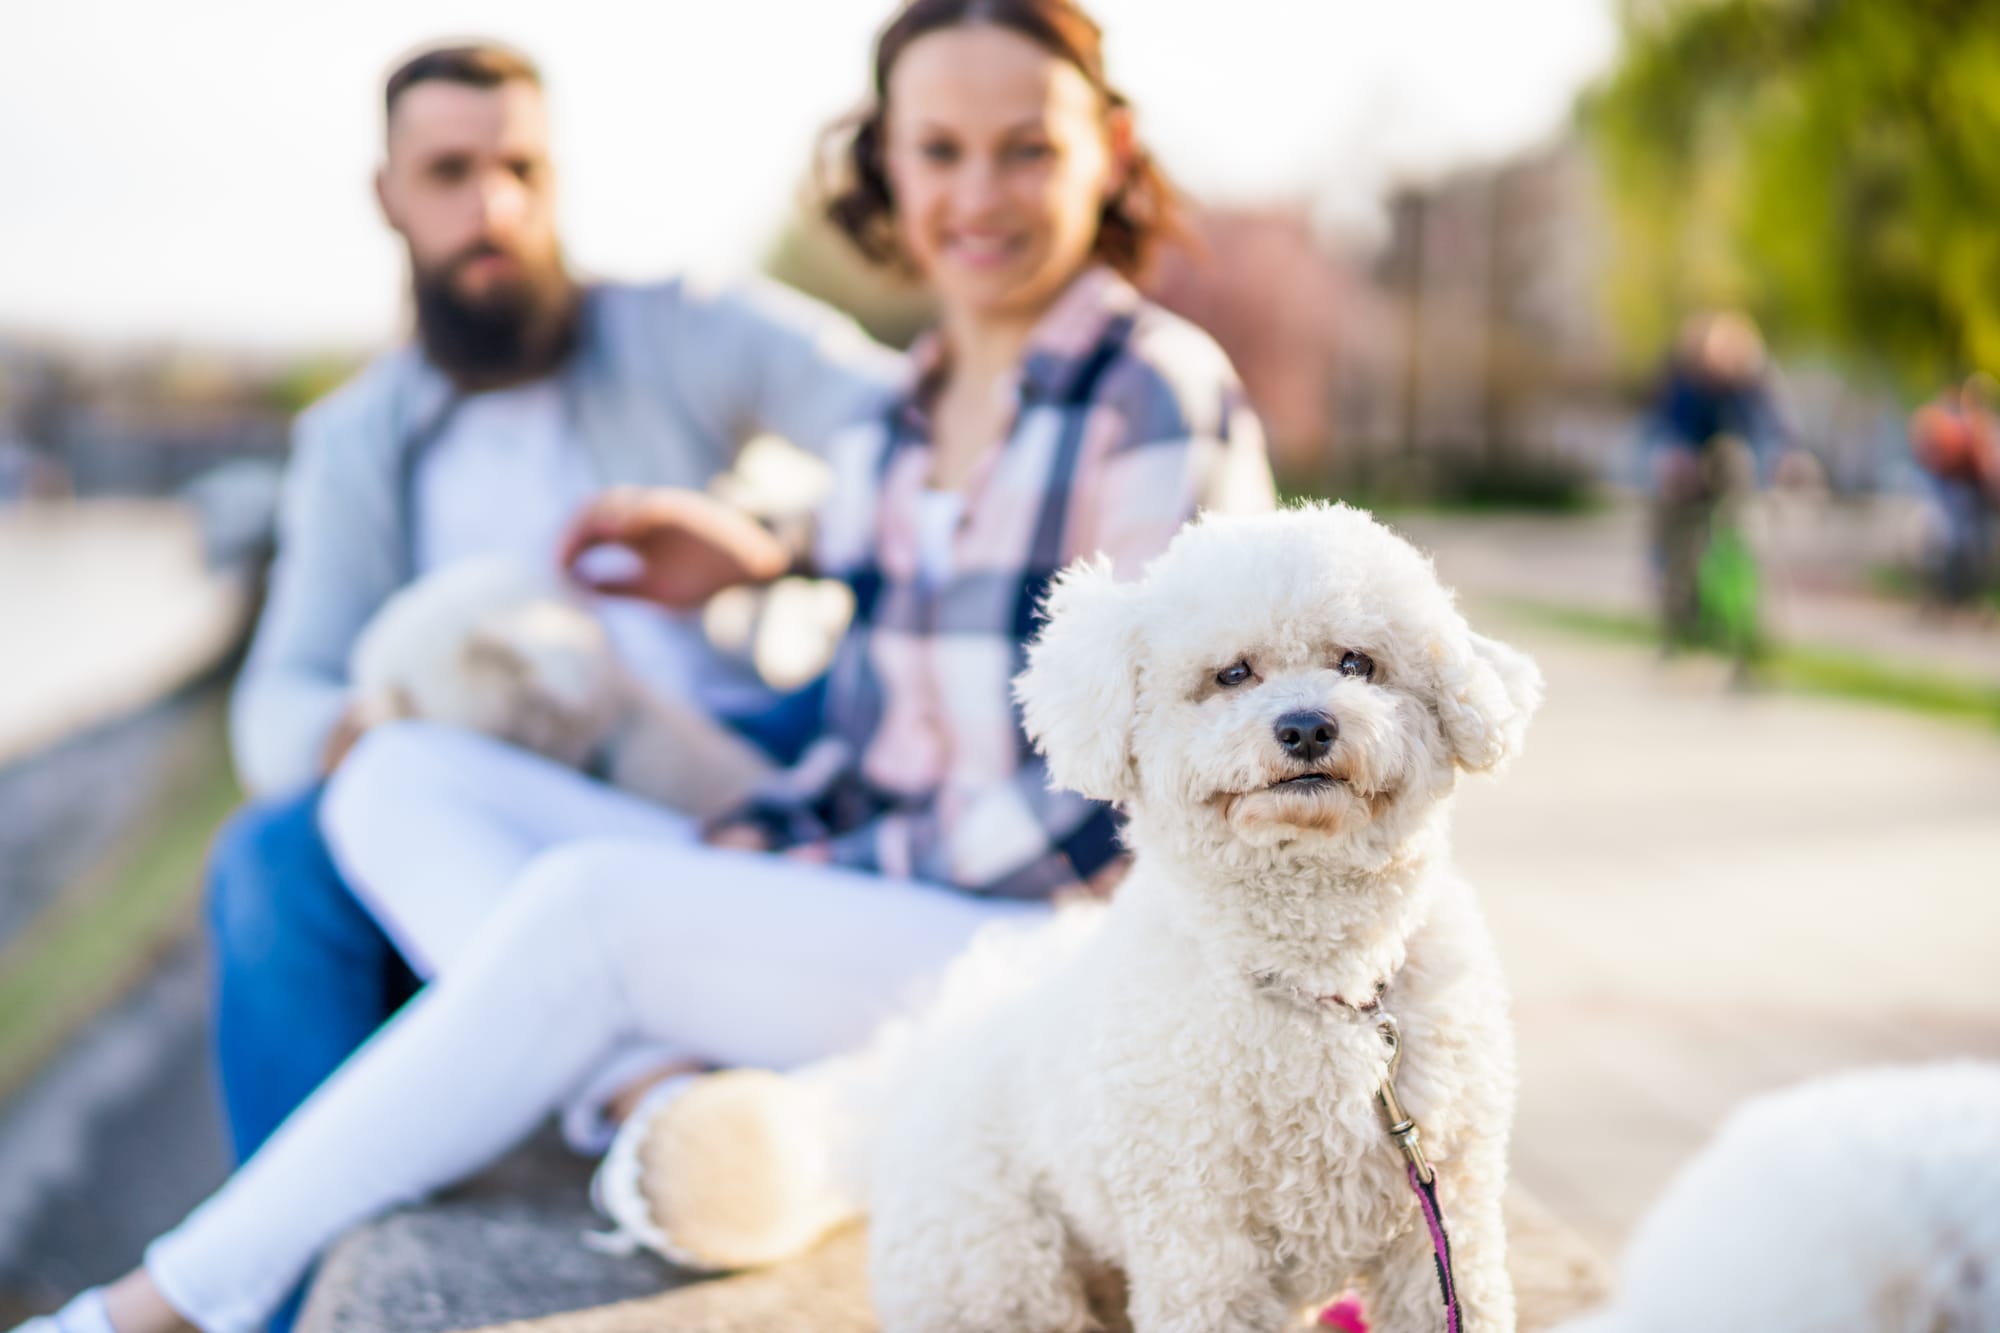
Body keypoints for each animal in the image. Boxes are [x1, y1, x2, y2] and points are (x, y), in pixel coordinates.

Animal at [608, 500, 1544, 1328]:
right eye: (1233, 674)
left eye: (1358, 664)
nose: (1308, 725)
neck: (1330, 986)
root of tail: (916, 1076)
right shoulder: (1202, 1249)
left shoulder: (1445, 1230)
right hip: (999, 1270)